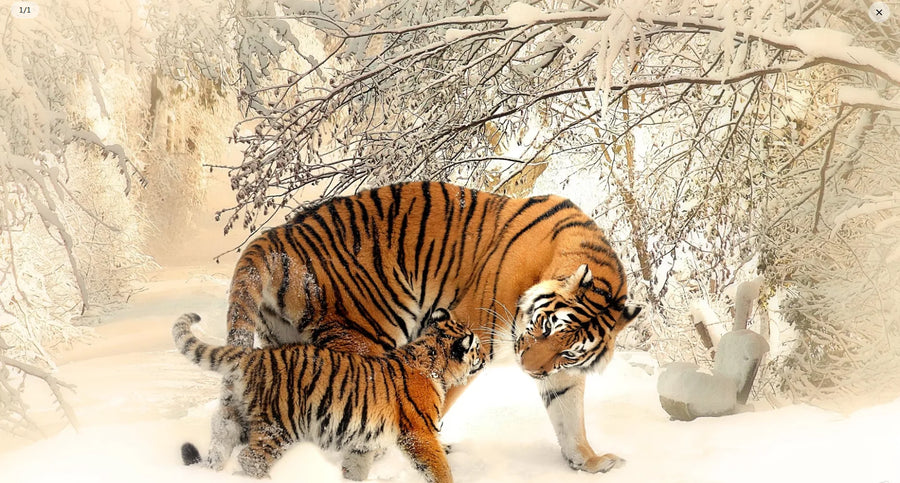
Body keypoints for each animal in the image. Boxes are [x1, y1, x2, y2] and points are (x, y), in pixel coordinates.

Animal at [173, 308, 484, 482]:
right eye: (477, 348)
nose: (484, 357)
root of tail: (253, 356)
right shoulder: (419, 433)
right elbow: (438, 467)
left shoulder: (363, 441)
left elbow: (355, 467)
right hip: (279, 425)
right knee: (251, 459)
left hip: (233, 418)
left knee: (219, 445)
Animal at [223, 181, 641, 474]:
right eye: (542, 326)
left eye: (568, 351)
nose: (529, 369)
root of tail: (276, 235)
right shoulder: (469, 336)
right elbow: (436, 401)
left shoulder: (562, 373)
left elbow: (570, 418)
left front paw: (589, 462)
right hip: (367, 335)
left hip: (285, 343)